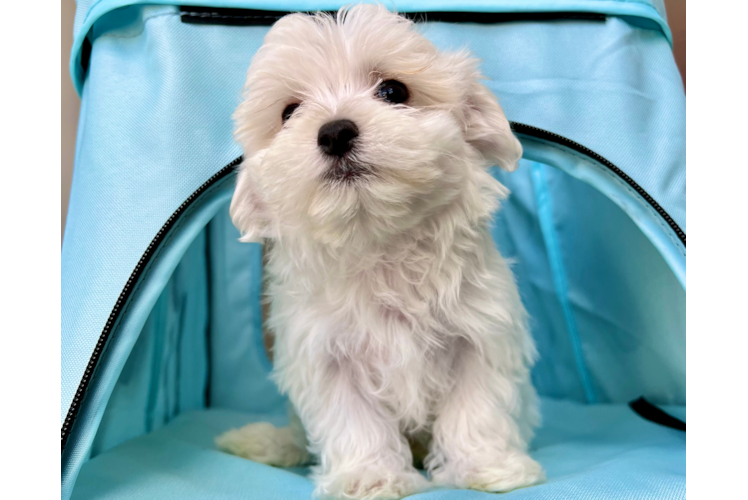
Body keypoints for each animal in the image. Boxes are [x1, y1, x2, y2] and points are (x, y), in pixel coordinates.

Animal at [216, 4, 544, 500]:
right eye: (289, 112)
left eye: (393, 91)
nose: (334, 131)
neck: (381, 245)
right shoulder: (327, 355)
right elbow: (355, 421)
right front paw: (371, 478)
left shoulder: (481, 332)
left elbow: (477, 405)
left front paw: (486, 466)